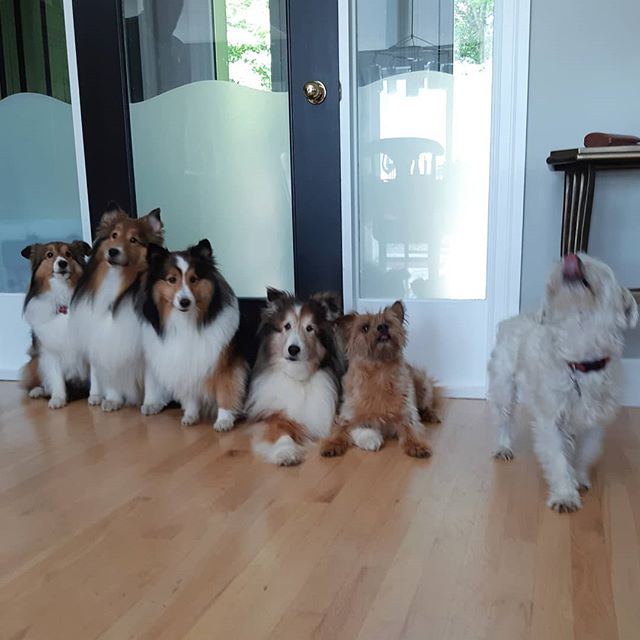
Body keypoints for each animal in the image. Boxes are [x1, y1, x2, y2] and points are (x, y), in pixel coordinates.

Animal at [20, 238, 91, 408]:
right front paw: (58, 398)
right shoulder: (50, 350)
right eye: (49, 255)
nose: (62, 263)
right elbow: (56, 376)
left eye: (68, 254)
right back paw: (38, 391)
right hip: (35, 359)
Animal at [320, 302, 440, 458]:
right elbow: (340, 429)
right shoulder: (349, 416)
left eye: (388, 322)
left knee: (426, 405)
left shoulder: (406, 415)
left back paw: (430, 414)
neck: (379, 370)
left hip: (422, 384)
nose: (382, 327)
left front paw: (417, 446)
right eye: (365, 327)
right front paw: (331, 444)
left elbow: (410, 430)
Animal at [490, 252, 636, 512]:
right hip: (504, 387)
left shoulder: (594, 422)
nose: (572, 256)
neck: (581, 360)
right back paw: (503, 446)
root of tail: (510, 319)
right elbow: (557, 458)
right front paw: (565, 495)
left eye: (598, 265)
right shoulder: (551, 419)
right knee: (504, 419)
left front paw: (578, 477)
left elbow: (586, 453)